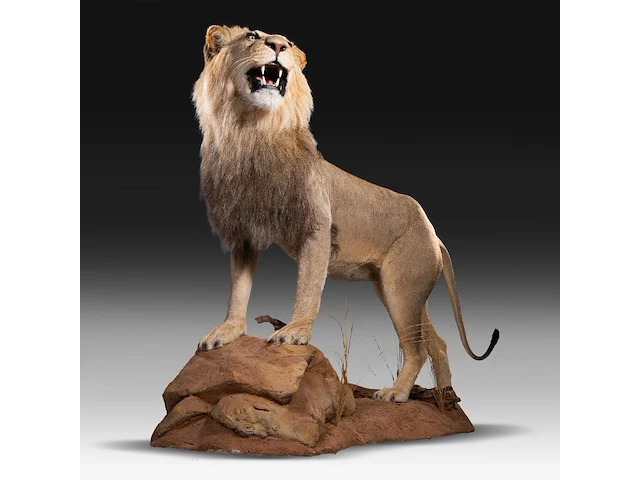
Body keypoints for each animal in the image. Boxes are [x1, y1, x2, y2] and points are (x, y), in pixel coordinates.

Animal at [192, 25, 499, 402]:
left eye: (288, 43)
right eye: (252, 35)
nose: (277, 46)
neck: (251, 131)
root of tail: (433, 232)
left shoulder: (317, 226)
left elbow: (308, 287)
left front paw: (294, 332)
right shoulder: (244, 231)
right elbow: (238, 289)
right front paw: (227, 331)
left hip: (401, 289)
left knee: (416, 349)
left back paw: (396, 394)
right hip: (401, 289)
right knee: (437, 343)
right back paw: (445, 399)